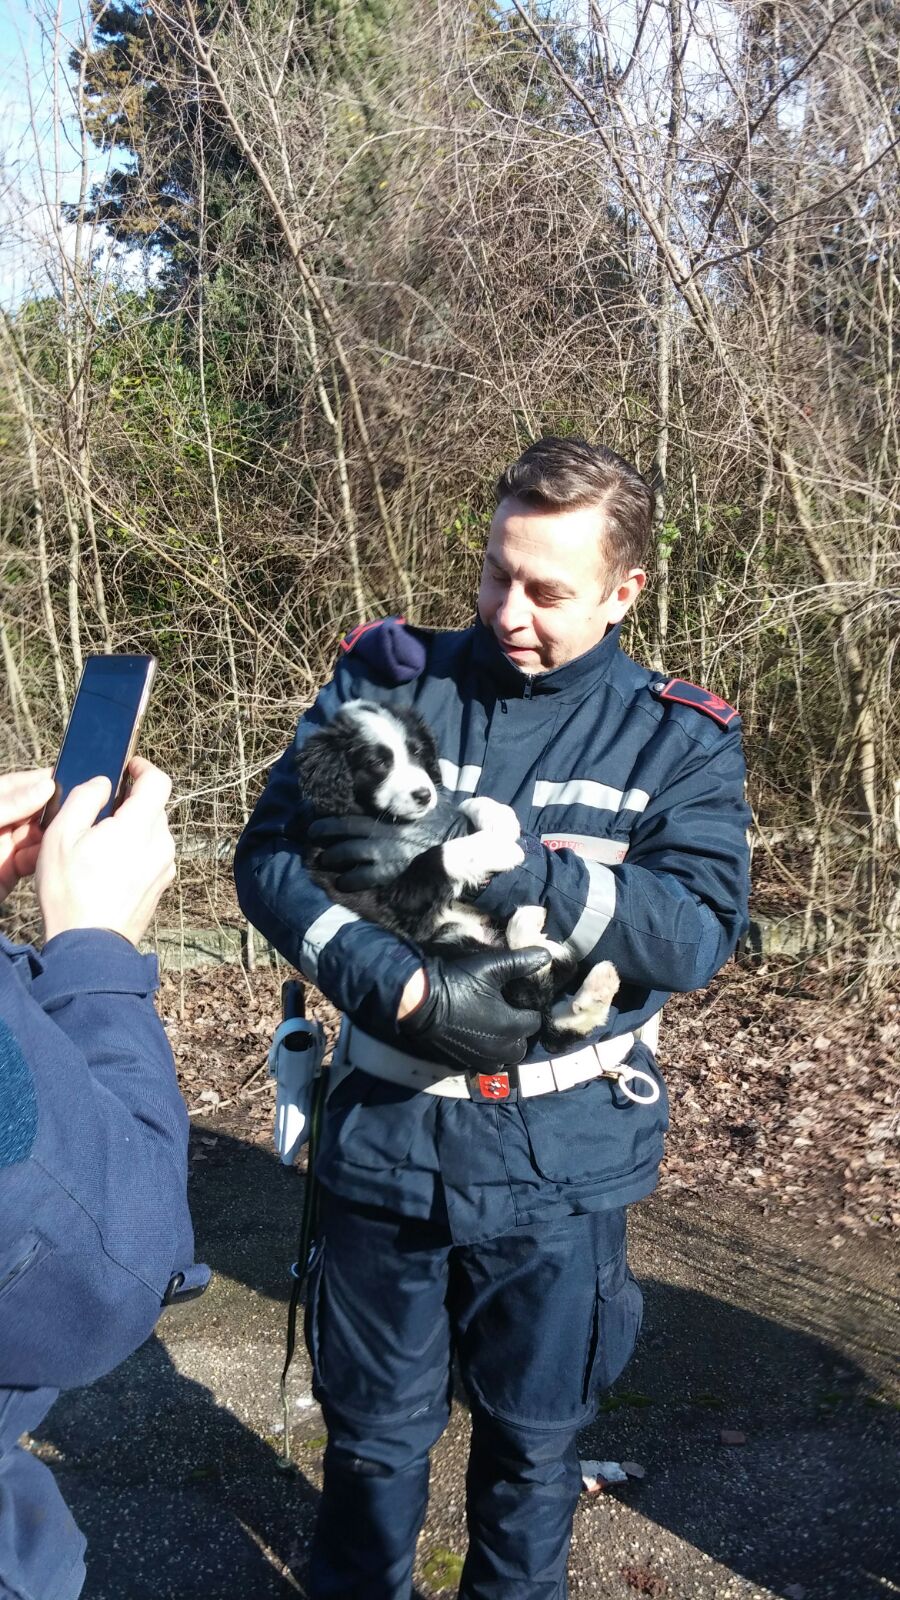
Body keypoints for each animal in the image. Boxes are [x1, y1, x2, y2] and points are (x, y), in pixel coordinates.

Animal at [296, 700, 614, 1049]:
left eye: (418, 753)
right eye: (378, 763)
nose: (423, 795)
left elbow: (463, 807)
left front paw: (498, 816)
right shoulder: (392, 895)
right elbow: (437, 855)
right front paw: (501, 849)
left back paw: (594, 983)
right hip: (453, 943)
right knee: (530, 984)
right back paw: (533, 931)